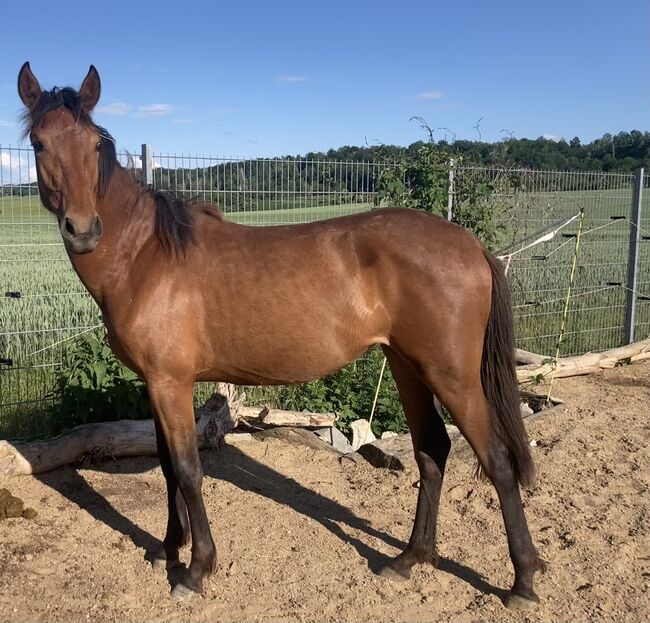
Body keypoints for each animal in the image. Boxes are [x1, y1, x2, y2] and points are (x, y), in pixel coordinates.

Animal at [16, 63, 540, 608]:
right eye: (39, 142)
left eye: (95, 143)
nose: (83, 229)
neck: (145, 257)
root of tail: (469, 245)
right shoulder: (155, 384)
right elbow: (165, 465)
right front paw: (167, 549)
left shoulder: (170, 383)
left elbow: (187, 470)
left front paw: (197, 569)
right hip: (407, 365)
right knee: (432, 451)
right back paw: (409, 560)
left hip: (451, 374)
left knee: (496, 460)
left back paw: (522, 582)